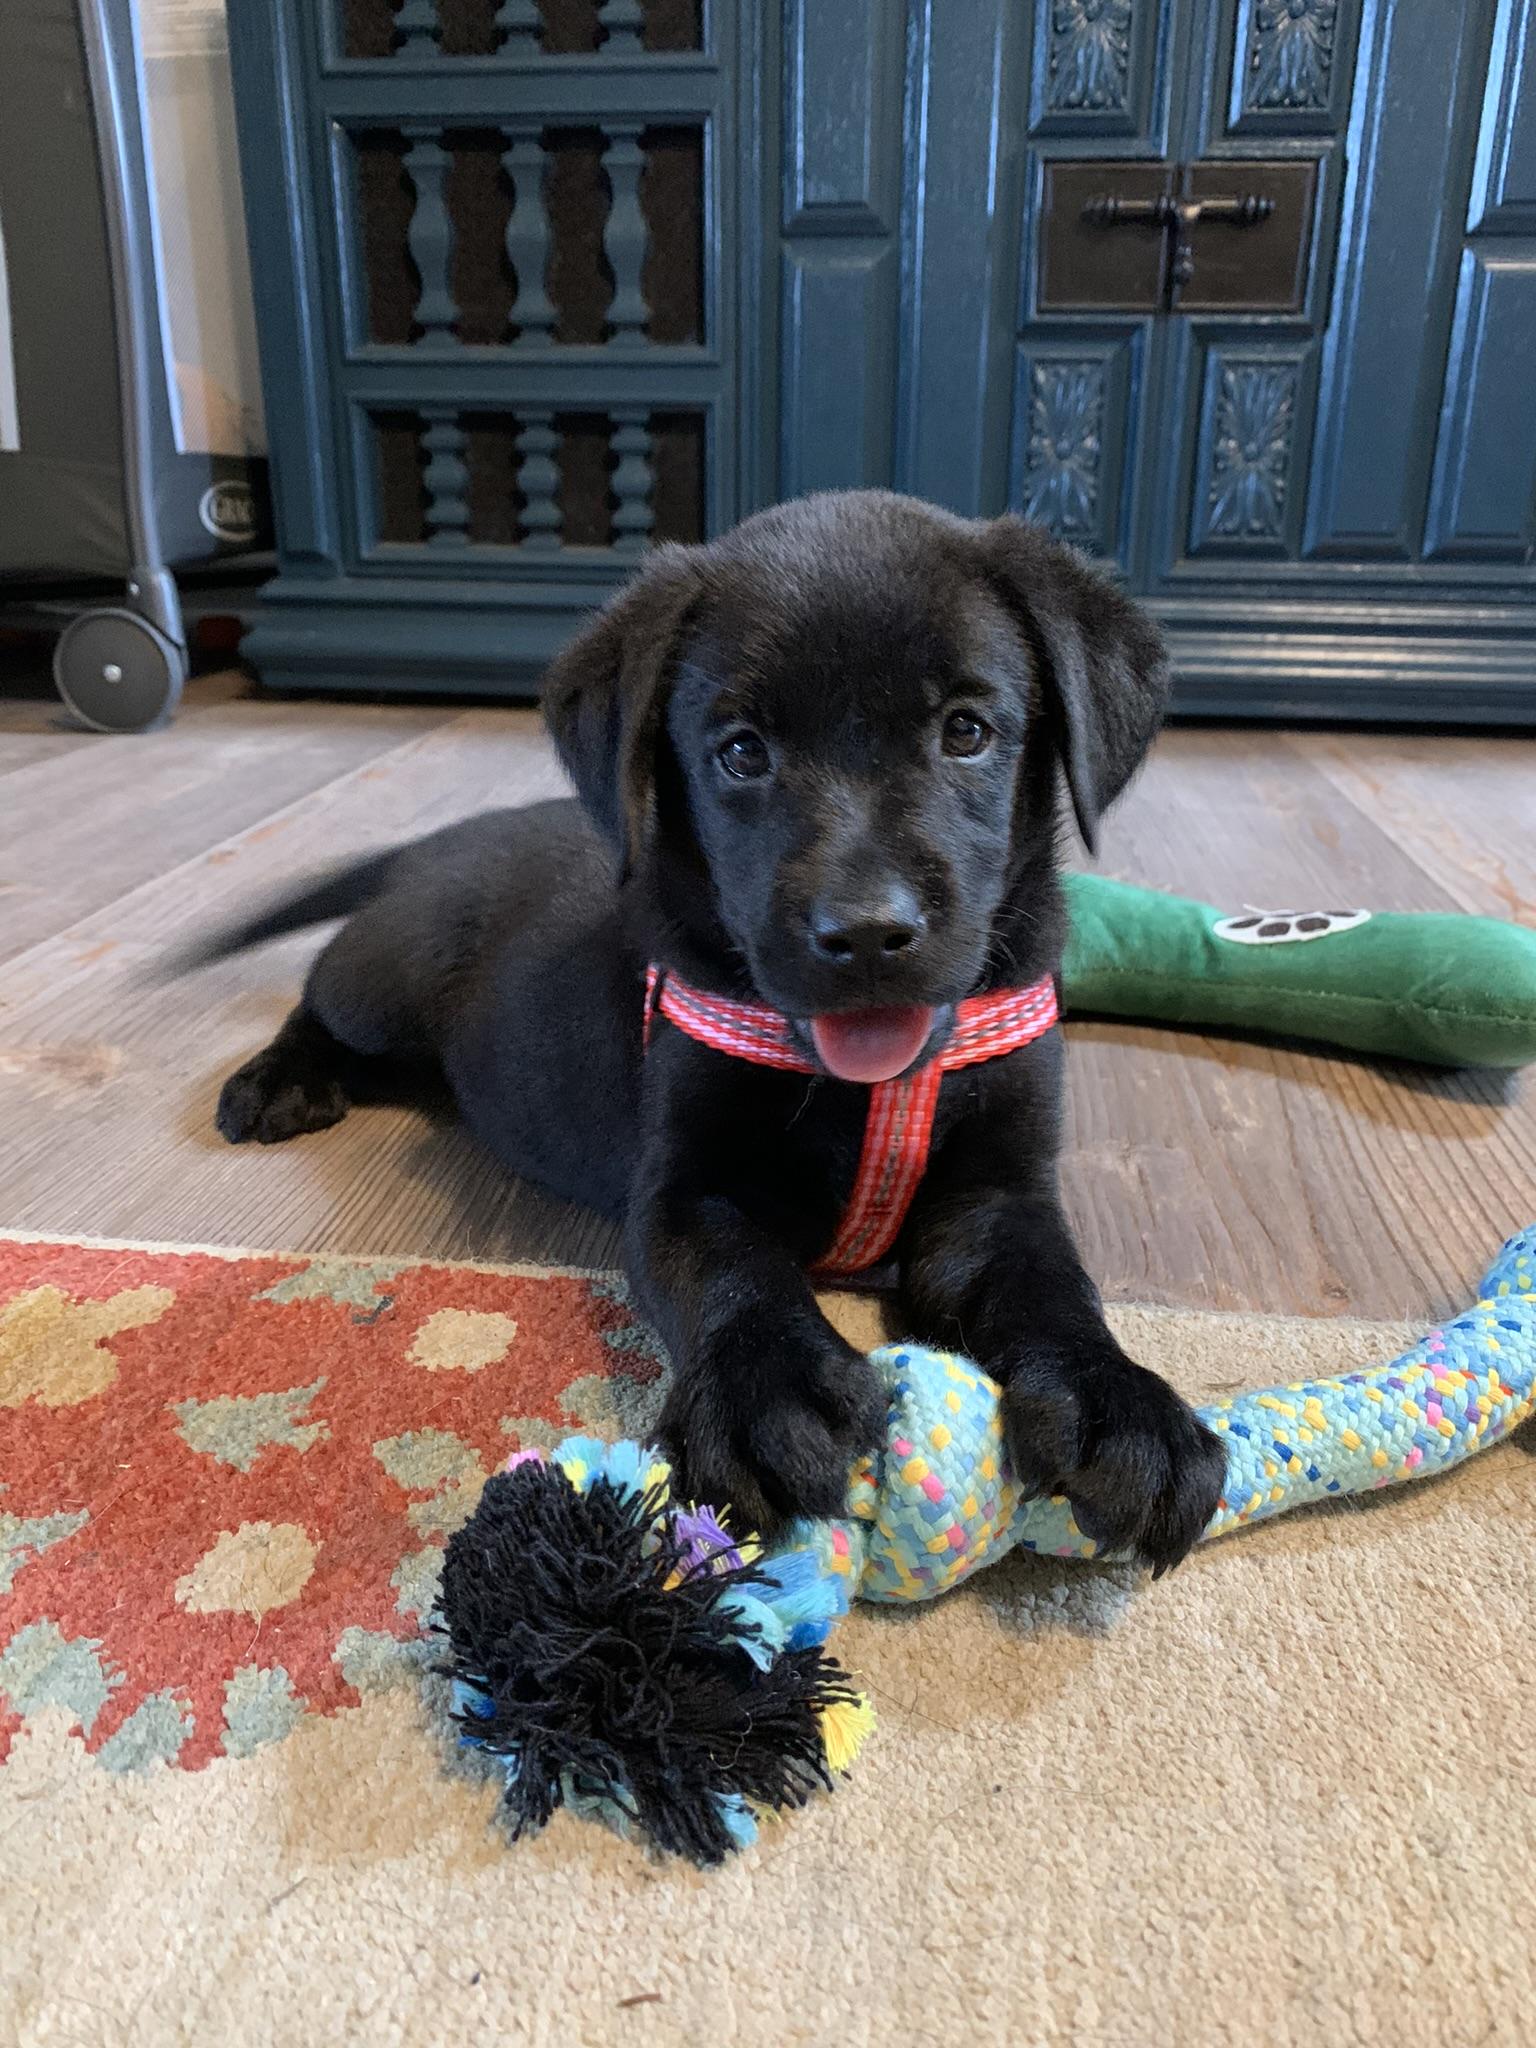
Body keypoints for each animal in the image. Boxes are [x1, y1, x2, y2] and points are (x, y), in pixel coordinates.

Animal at [192, 490, 1224, 1567]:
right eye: (741, 751)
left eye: (967, 731)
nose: (866, 932)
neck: (864, 1086)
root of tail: (436, 841)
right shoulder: (682, 1183)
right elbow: (731, 1264)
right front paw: (770, 1393)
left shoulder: (996, 1196)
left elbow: (1054, 1283)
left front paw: (1120, 1404)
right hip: (387, 975)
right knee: (318, 991)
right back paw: (278, 1079)